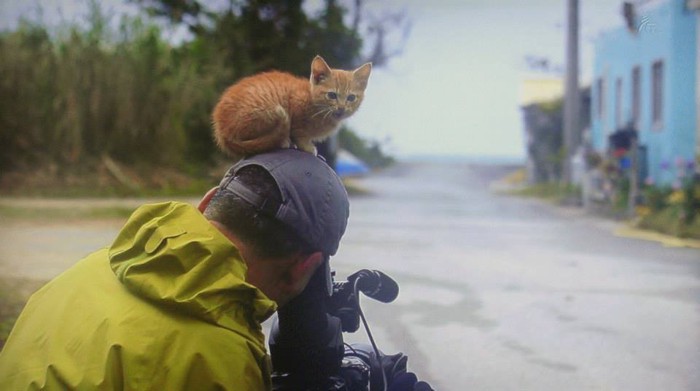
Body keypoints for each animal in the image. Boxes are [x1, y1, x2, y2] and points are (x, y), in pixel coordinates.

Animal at [212, 55, 372, 159]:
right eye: (332, 95)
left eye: (351, 98)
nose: (342, 107)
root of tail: (222, 132)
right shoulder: (296, 106)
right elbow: (299, 132)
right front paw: (307, 146)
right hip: (266, 110)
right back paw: (283, 141)